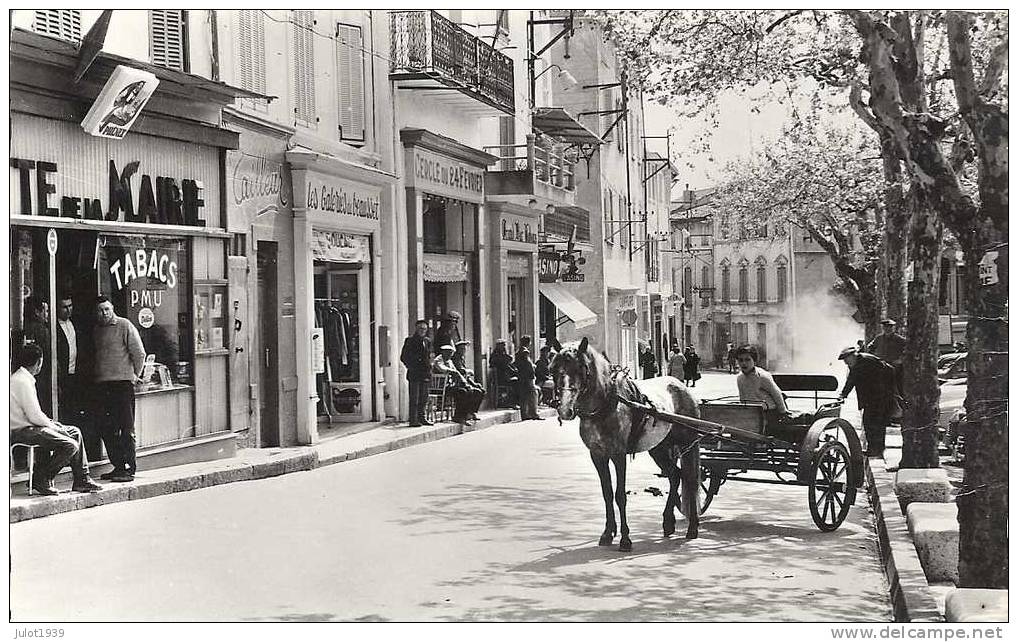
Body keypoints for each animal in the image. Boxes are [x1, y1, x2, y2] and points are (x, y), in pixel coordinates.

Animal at [549, 335, 700, 553]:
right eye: (554, 369)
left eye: (581, 368)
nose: (564, 410)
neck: (605, 404)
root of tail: (681, 386)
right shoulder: (598, 455)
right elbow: (607, 493)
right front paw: (607, 533)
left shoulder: (618, 455)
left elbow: (620, 495)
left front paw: (625, 539)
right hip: (659, 448)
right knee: (675, 476)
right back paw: (668, 522)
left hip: (688, 444)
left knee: (691, 479)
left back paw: (693, 527)